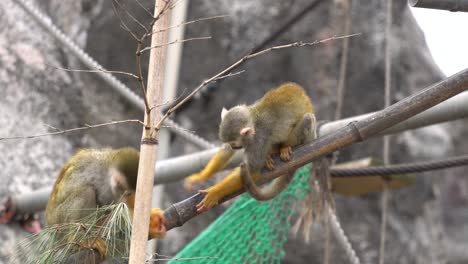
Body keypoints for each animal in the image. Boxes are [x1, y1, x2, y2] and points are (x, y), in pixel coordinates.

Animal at [185, 83, 316, 212]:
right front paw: (200, 177)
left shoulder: (258, 139)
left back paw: (286, 147)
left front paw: (214, 192)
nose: (233, 146)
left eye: (234, 143)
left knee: (308, 118)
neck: (254, 120)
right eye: (229, 143)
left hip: (310, 136)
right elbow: (225, 152)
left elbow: (252, 172)